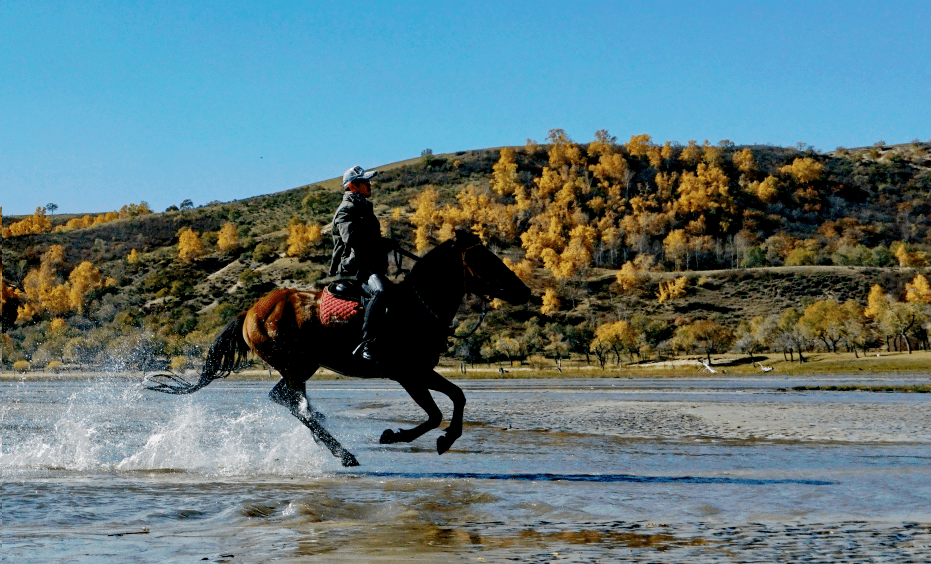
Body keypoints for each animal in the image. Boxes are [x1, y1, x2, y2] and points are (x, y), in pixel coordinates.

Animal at [149, 232, 536, 468]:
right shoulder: (407, 374)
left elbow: (457, 397)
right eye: (483, 260)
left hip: (301, 367)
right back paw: (344, 453)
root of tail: (250, 312)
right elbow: (435, 413)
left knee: (290, 401)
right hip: (297, 365)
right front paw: (395, 436)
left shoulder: (421, 371)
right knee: (290, 402)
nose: (525, 291)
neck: (416, 308)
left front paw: (447, 439)